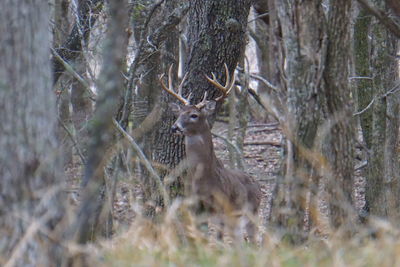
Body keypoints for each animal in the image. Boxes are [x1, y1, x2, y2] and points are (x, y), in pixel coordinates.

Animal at [159, 64, 262, 241]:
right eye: (179, 114)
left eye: (194, 115)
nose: (174, 127)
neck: (204, 179)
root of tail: (258, 186)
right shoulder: (196, 210)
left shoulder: (221, 210)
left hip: (250, 213)